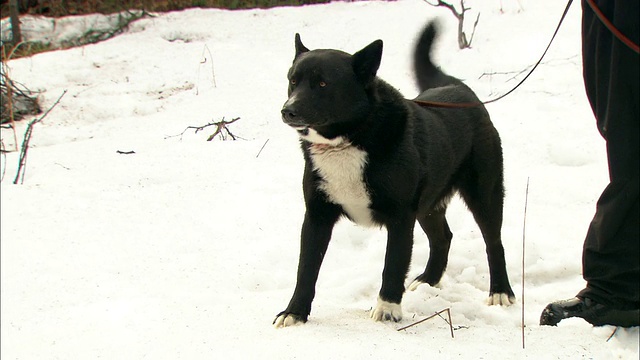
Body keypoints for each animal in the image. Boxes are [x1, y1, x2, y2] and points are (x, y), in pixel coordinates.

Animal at [274, 20, 516, 330]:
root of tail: (460, 90)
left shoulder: (400, 217)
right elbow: (306, 270)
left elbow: (393, 265)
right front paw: (294, 312)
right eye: (293, 80)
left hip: (484, 194)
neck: (352, 137)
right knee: (443, 237)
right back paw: (429, 280)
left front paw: (387, 309)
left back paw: (500, 291)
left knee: (494, 243)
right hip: (428, 205)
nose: (288, 111)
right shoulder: (317, 216)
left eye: (323, 83)